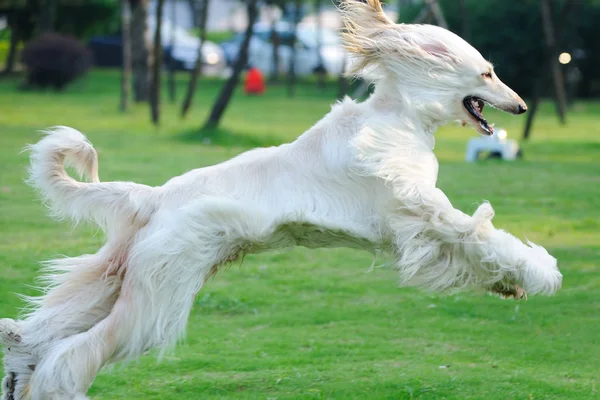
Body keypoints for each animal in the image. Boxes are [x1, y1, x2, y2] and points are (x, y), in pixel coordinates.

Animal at [0, 1, 564, 398]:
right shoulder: (421, 213)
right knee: (73, 353)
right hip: (161, 288)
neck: (400, 117)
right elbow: (480, 235)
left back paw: (18, 368)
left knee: (33, 334)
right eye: (487, 73)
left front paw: (509, 284)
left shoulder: (415, 225)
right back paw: (55, 387)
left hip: (121, 274)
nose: (522, 105)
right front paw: (537, 273)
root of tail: (153, 197)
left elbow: (476, 247)